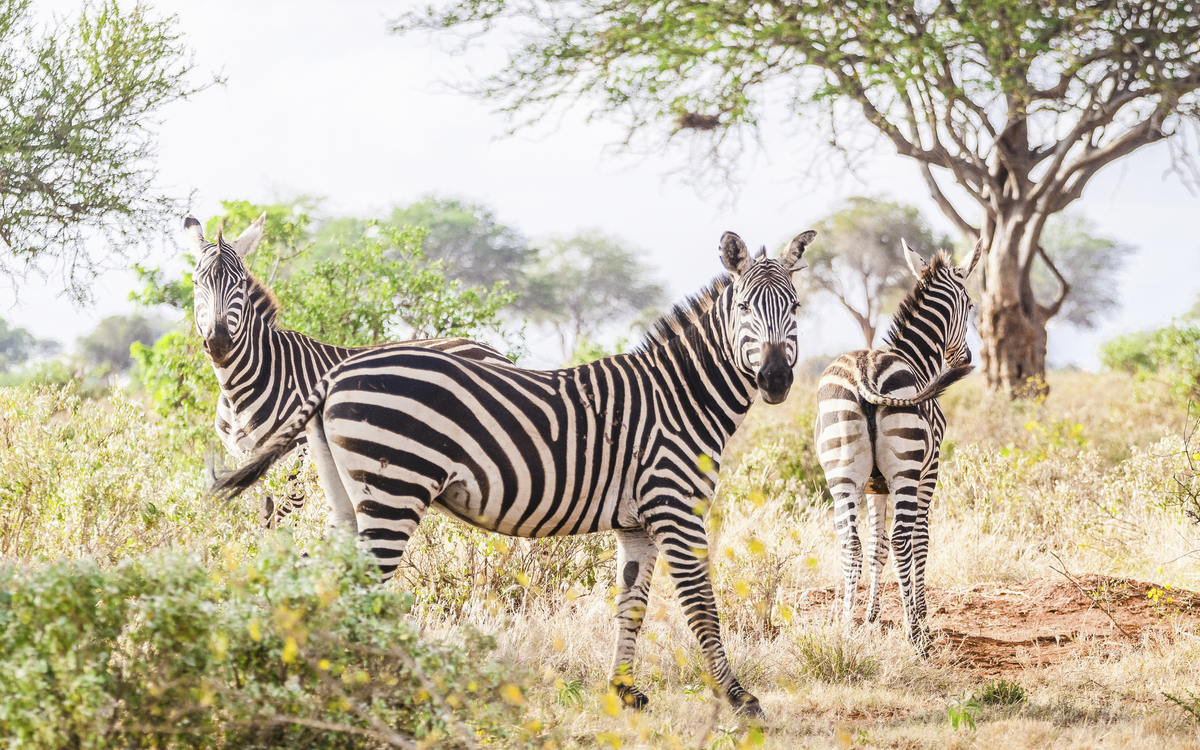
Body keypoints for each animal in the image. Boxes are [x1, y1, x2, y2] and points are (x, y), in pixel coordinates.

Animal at [187, 213, 511, 528]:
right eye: (195, 283)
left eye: (240, 283)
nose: (218, 342)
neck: (238, 390)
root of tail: (492, 351)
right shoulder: (247, 464)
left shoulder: (297, 463)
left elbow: (280, 529)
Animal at [212, 229, 816, 717]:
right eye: (745, 307)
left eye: (795, 306)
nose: (776, 379)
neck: (680, 396)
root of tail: (337, 371)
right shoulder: (676, 506)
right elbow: (702, 607)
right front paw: (739, 698)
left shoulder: (637, 524)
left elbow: (631, 607)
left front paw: (624, 692)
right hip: (393, 487)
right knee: (363, 590)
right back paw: (368, 686)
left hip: (345, 496)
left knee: (332, 584)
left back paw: (335, 679)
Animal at [814, 240, 980, 654]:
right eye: (971, 306)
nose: (966, 358)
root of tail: (864, 371)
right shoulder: (928, 472)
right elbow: (921, 540)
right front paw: (920, 616)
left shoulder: (875, 486)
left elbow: (877, 545)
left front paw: (870, 618)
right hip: (905, 474)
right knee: (906, 540)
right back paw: (916, 638)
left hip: (842, 476)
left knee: (851, 544)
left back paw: (845, 626)